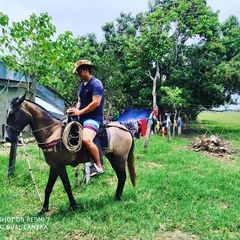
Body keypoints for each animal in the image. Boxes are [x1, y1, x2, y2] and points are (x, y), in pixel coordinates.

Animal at [5, 94, 136, 216]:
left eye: (11, 113)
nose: (7, 138)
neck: (52, 133)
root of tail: (125, 129)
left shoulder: (56, 167)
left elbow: (55, 187)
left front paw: (48, 208)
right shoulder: (58, 167)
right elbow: (59, 187)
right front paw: (57, 207)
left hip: (120, 158)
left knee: (122, 176)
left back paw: (117, 197)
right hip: (112, 157)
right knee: (120, 176)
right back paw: (116, 196)